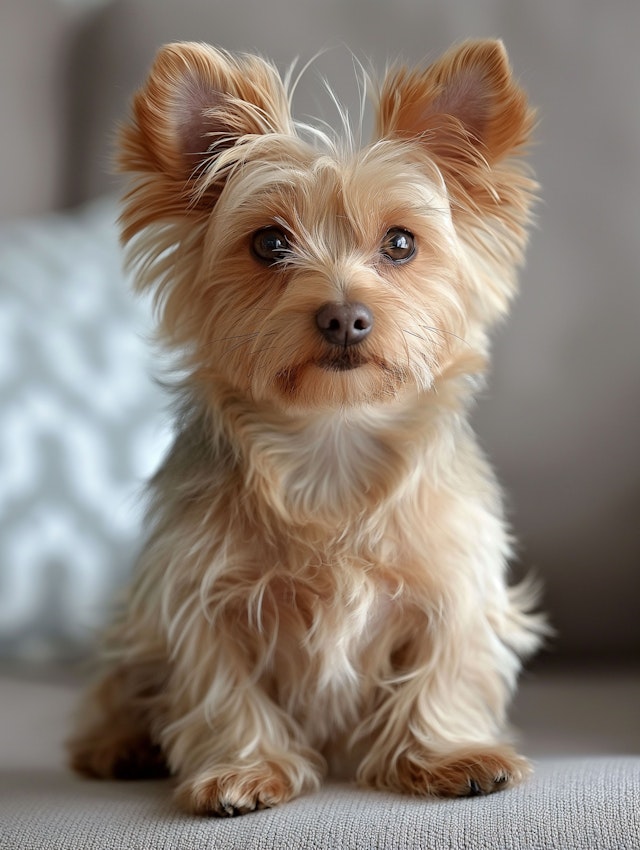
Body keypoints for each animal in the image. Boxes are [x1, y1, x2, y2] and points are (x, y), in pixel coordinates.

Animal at [67, 39, 544, 816]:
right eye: (268, 243)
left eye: (401, 243)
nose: (344, 316)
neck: (331, 436)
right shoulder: (196, 592)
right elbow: (219, 687)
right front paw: (243, 769)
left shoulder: (455, 577)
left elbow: (446, 668)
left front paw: (448, 754)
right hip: (130, 634)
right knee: (118, 687)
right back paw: (117, 744)